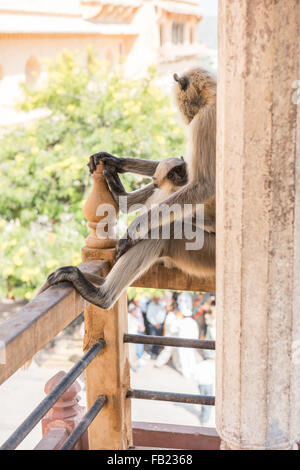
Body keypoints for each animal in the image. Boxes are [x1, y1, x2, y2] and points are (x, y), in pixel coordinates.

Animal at [40, 67, 218, 308]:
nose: (185, 114)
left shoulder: (205, 120)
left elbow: (204, 185)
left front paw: (132, 230)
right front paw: (115, 161)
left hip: (206, 252)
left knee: (165, 231)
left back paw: (100, 296)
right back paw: (122, 197)